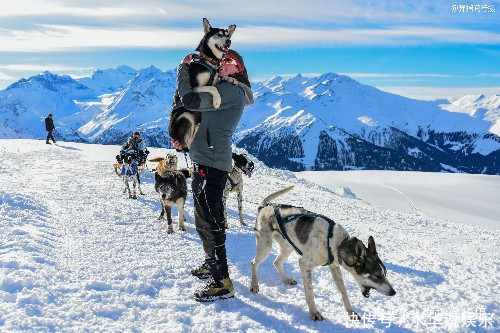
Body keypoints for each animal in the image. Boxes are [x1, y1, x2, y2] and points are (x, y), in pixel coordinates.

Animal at [168, 18, 236, 150]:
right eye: (218, 34)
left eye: (227, 35)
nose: (229, 41)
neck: (210, 61)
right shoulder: (195, 87)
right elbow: (212, 88)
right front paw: (217, 101)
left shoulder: (216, 78)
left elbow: (220, 79)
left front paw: (231, 79)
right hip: (186, 116)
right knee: (188, 142)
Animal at [252, 185, 396, 320]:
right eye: (377, 276)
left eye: (385, 273)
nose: (393, 292)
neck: (338, 243)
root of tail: (264, 207)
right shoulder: (305, 264)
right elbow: (310, 293)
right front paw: (314, 312)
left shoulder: (334, 267)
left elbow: (343, 292)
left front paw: (350, 312)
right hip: (265, 246)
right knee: (254, 263)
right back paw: (254, 285)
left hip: (288, 247)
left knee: (276, 262)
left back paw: (287, 279)